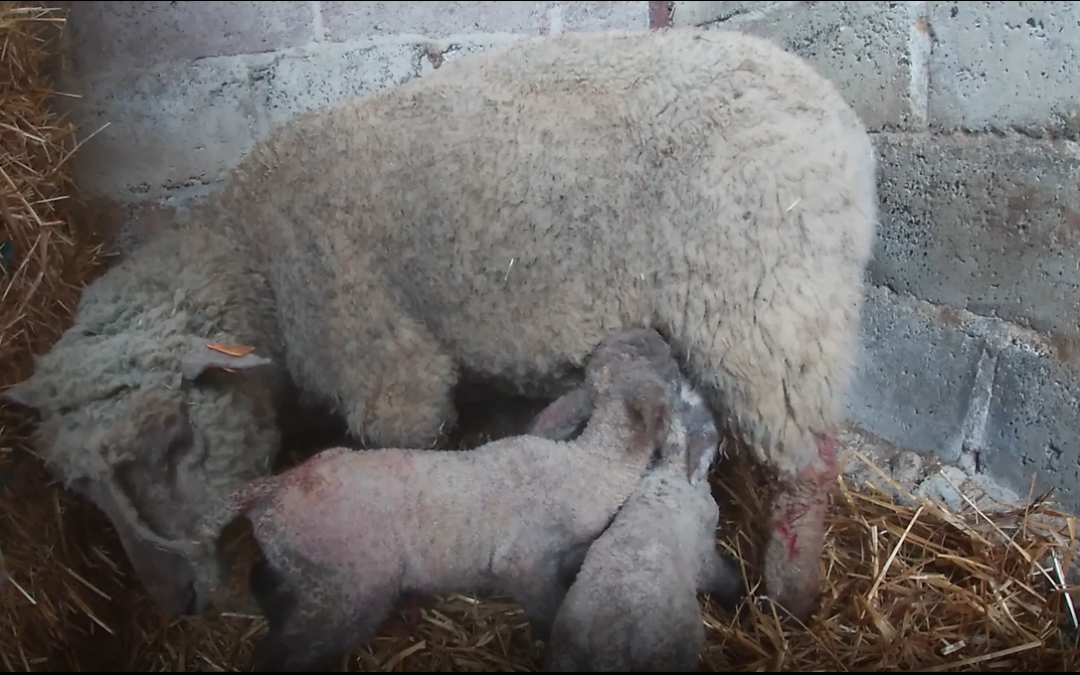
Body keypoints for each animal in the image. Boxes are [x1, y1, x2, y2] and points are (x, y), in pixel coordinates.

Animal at [2, 26, 876, 617]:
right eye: (80, 487)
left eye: (173, 439)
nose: (174, 600)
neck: (257, 256)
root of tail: (842, 124)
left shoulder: (385, 365)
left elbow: (404, 459)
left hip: (765, 306)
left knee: (810, 463)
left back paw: (790, 594)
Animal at [192, 326, 682, 669]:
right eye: (648, 356)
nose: (660, 334)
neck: (589, 467)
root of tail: (274, 487)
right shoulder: (524, 562)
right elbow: (550, 611)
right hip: (347, 589)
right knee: (279, 652)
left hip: (303, 569)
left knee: (265, 579)